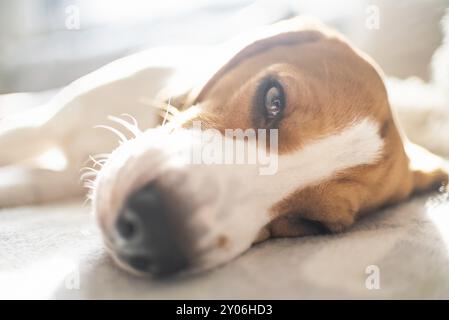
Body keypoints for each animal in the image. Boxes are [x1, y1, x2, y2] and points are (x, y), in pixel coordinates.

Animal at [0, 18, 448, 278]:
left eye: (311, 224)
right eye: (273, 98)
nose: (155, 231)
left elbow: (29, 182)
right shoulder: (48, 121)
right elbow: (19, 137)